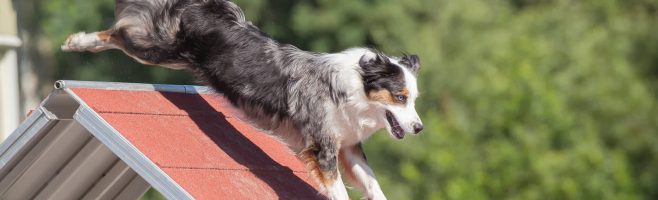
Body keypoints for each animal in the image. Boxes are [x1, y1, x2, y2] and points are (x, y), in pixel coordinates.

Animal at [60, 0, 420, 199]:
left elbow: (373, 186)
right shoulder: (322, 148)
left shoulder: (349, 147)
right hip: (157, 49)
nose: (419, 128)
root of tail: (202, 6)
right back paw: (77, 41)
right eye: (400, 97)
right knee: (119, 32)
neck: (353, 90)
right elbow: (338, 190)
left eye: (414, 99)